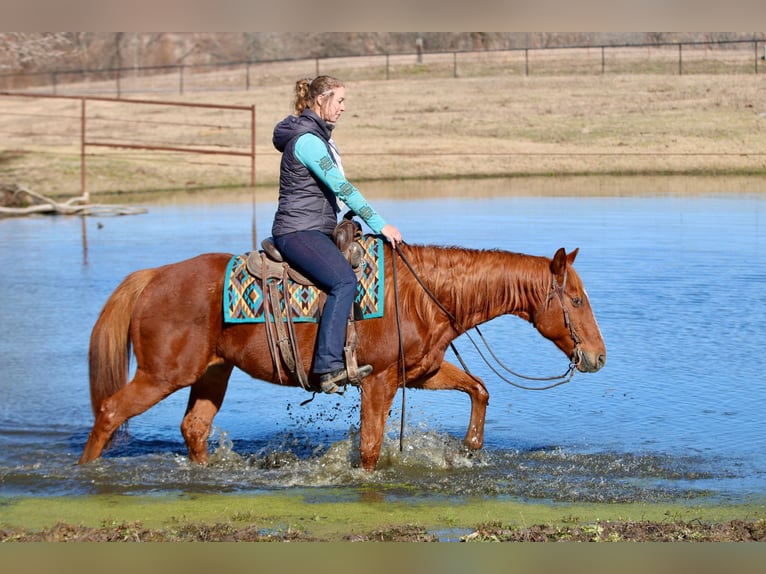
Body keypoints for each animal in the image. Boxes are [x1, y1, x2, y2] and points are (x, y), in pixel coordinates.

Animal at [79, 242, 606, 471]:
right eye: (577, 300)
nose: (599, 357)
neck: (422, 294)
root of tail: (152, 276)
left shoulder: (422, 372)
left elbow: (479, 388)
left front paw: (471, 446)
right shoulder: (379, 380)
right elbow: (370, 446)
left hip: (212, 373)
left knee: (194, 428)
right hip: (162, 374)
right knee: (109, 412)